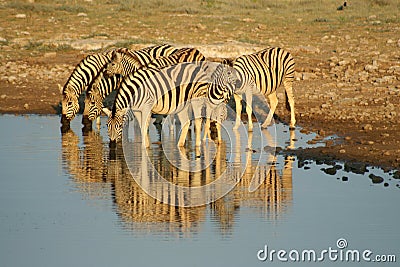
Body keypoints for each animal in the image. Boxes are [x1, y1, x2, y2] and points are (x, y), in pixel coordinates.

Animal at [103, 57, 239, 149]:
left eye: (119, 126)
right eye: (107, 126)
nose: (112, 145)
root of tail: (198, 68)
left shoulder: (147, 106)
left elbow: (144, 126)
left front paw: (144, 148)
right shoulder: (137, 110)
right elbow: (143, 126)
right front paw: (146, 146)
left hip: (196, 99)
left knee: (198, 121)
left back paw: (198, 145)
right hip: (183, 104)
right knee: (186, 122)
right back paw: (179, 145)